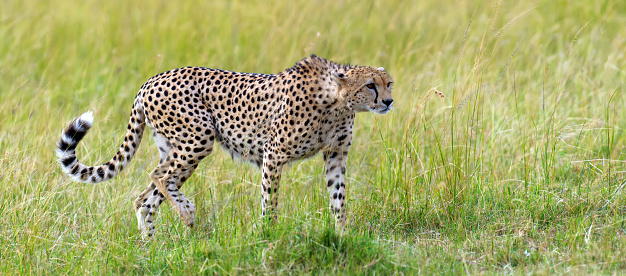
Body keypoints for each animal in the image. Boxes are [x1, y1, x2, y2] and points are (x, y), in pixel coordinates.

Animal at [56, 55, 392, 236]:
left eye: (388, 83)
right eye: (370, 85)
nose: (389, 102)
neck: (337, 101)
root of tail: (151, 80)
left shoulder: (335, 155)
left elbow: (339, 200)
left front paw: (342, 235)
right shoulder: (274, 154)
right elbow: (270, 201)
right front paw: (268, 234)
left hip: (177, 147)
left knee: (145, 198)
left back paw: (149, 247)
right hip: (199, 137)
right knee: (159, 176)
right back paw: (187, 212)